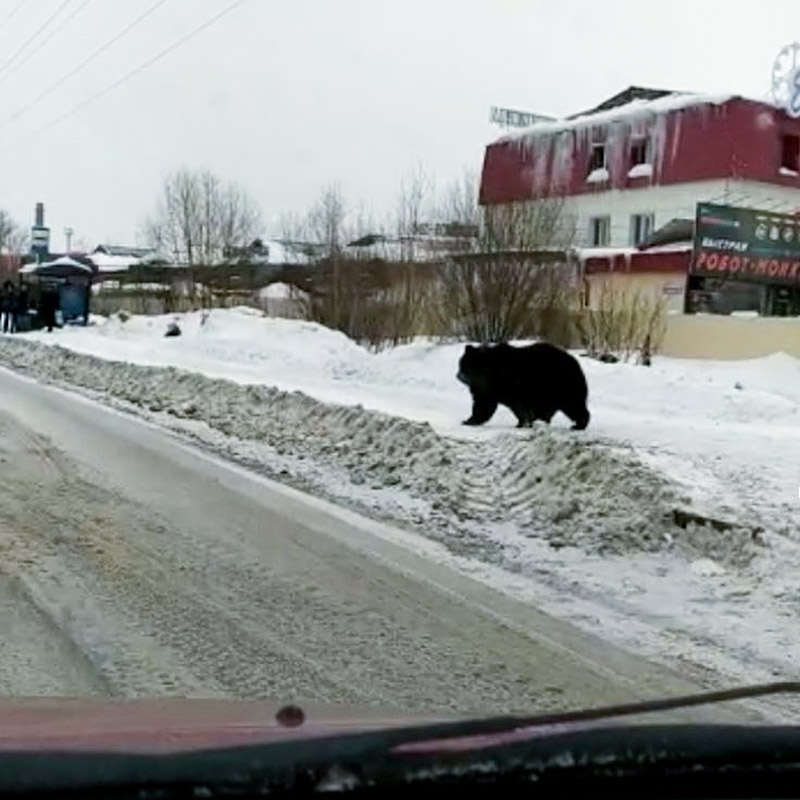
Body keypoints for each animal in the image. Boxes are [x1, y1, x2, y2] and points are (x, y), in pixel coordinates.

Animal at [456, 344, 588, 432]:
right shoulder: (489, 388)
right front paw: (469, 420)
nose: (458, 376)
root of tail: (575, 361)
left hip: (559, 385)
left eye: (463, 365)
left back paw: (579, 424)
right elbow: (484, 403)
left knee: (573, 405)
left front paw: (523, 423)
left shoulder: (513, 385)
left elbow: (517, 406)